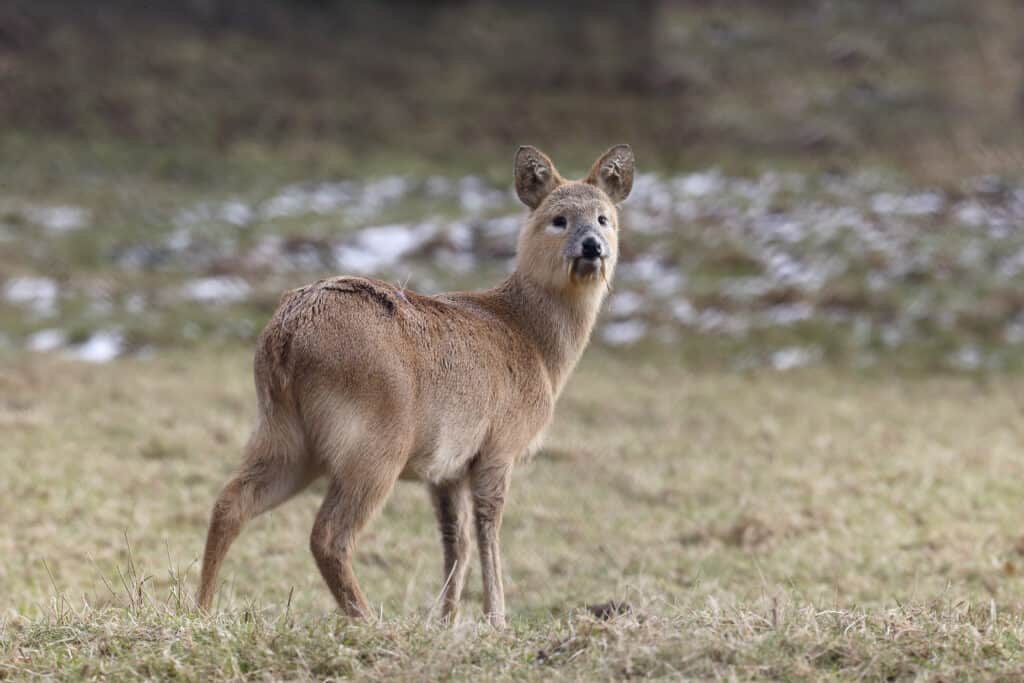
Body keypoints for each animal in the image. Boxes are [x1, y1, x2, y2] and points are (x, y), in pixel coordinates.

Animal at [193, 144, 630, 630]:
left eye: (604, 217)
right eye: (559, 219)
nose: (593, 246)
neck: (533, 342)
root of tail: (285, 334)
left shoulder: (446, 466)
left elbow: (455, 539)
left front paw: (446, 622)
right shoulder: (499, 445)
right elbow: (487, 529)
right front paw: (496, 619)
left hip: (283, 433)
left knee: (230, 503)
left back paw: (201, 611)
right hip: (374, 440)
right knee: (328, 534)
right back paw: (368, 620)